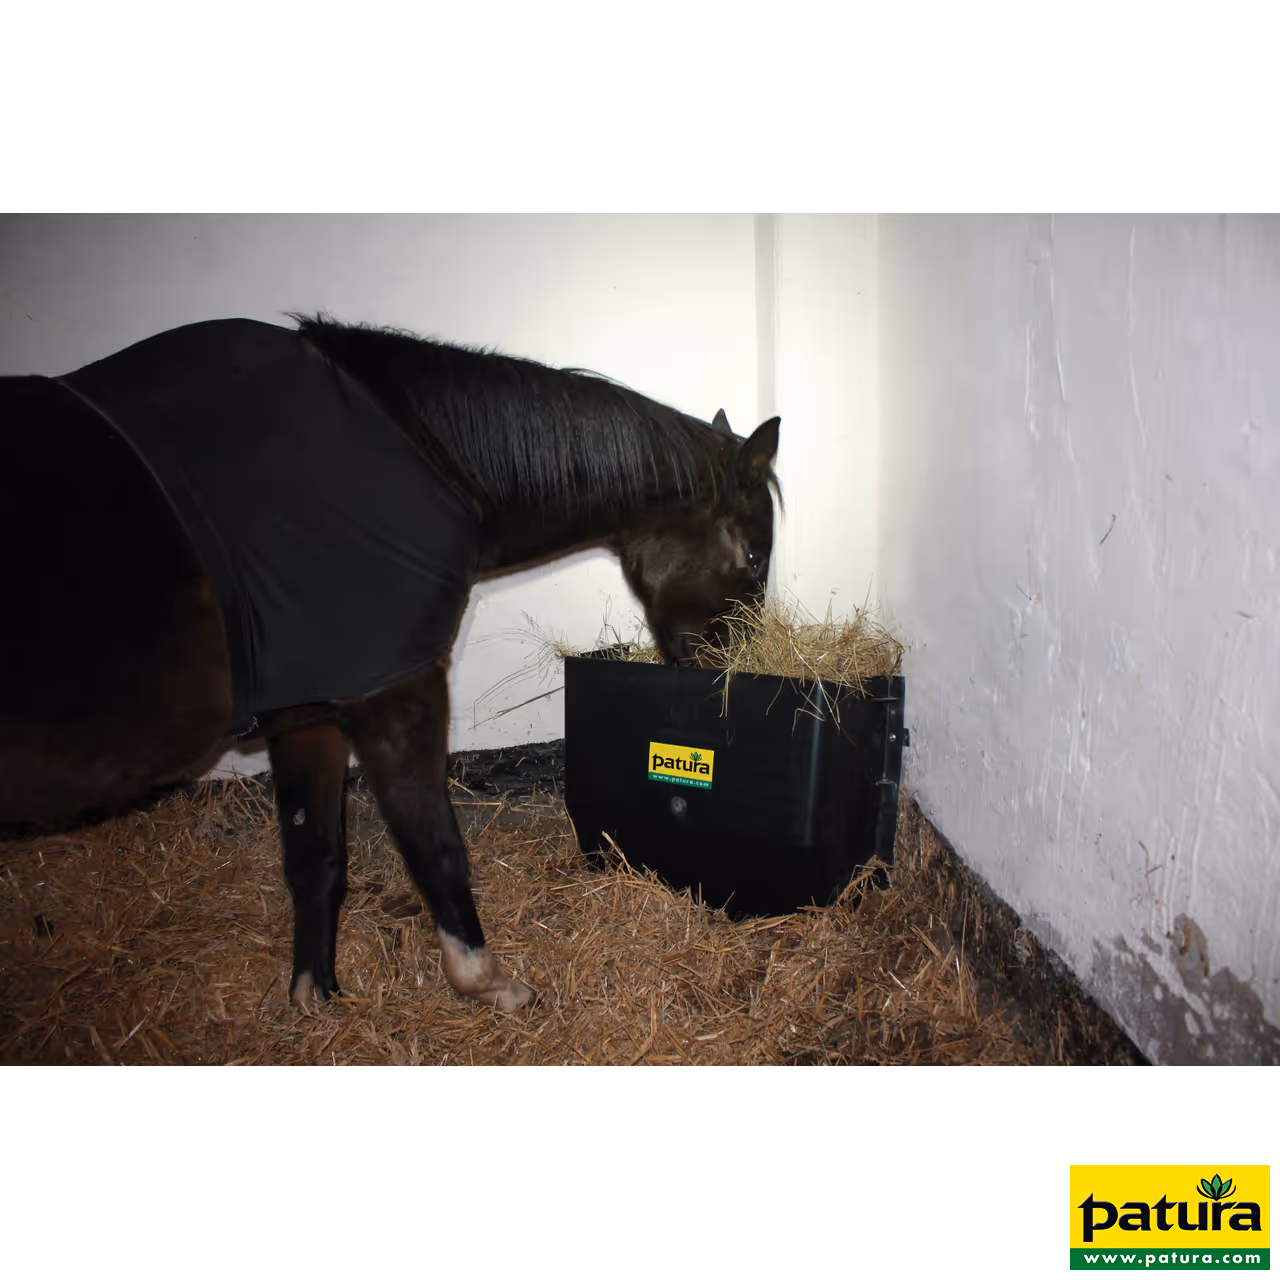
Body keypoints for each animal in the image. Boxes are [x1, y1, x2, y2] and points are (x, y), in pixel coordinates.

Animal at [0, 315, 780, 1014]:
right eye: (752, 555)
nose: (732, 670)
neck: (420, 453)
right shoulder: (395, 695)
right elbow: (434, 847)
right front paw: (485, 982)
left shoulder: (306, 716)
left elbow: (314, 855)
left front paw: (315, 993)